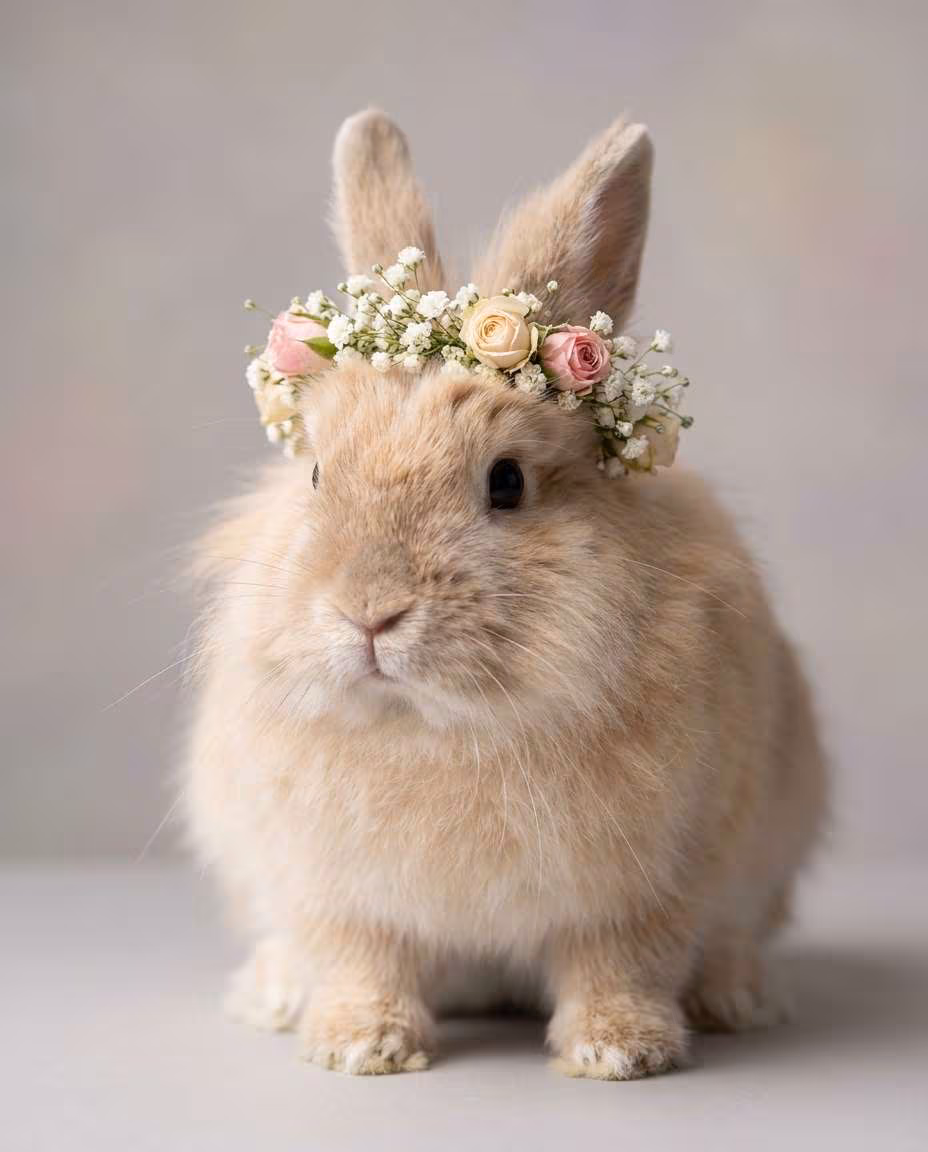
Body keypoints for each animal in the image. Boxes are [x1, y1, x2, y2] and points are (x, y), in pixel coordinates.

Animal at [184, 108, 827, 1079]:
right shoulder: (334, 890)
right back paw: (274, 996)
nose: (368, 612)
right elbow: (361, 958)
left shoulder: (648, 884)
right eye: (318, 473)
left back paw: (737, 1000)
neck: (436, 728)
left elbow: (618, 962)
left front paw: (619, 1052)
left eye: (508, 482)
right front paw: (361, 1047)